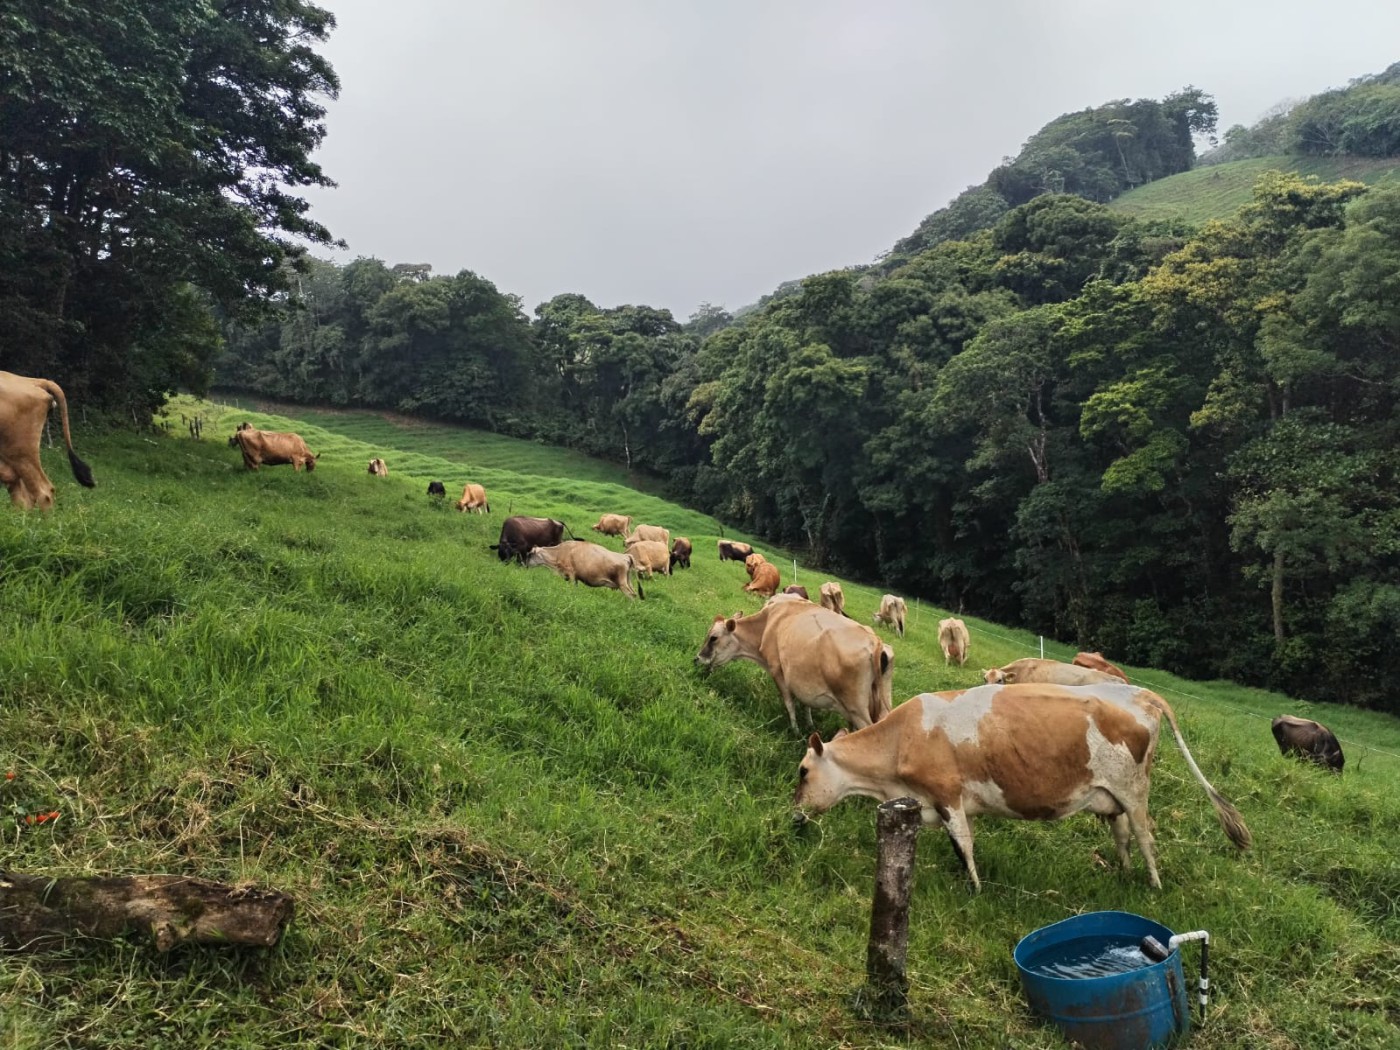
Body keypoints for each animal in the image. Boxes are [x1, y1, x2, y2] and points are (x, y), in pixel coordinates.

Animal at [695, 598, 894, 732]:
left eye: (713, 638)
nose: (696, 659)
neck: (767, 625)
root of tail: (875, 641)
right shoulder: (803, 679)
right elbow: (805, 704)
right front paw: (809, 724)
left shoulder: (777, 669)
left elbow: (789, 702)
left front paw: (795, 729)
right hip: (883, 706)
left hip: (858, 710)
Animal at [793, 682, 1252, 891]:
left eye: (801, 772)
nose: (794, 816)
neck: (902, 738)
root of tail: (1139, 692)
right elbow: (958, 845)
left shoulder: (947, 796)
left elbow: (965, 845)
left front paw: (975, 889)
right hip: (1112, 796)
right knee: (1122, 833)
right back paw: (1122, 876)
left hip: (1134, 790)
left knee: (1144, 835)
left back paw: (1154, 886)